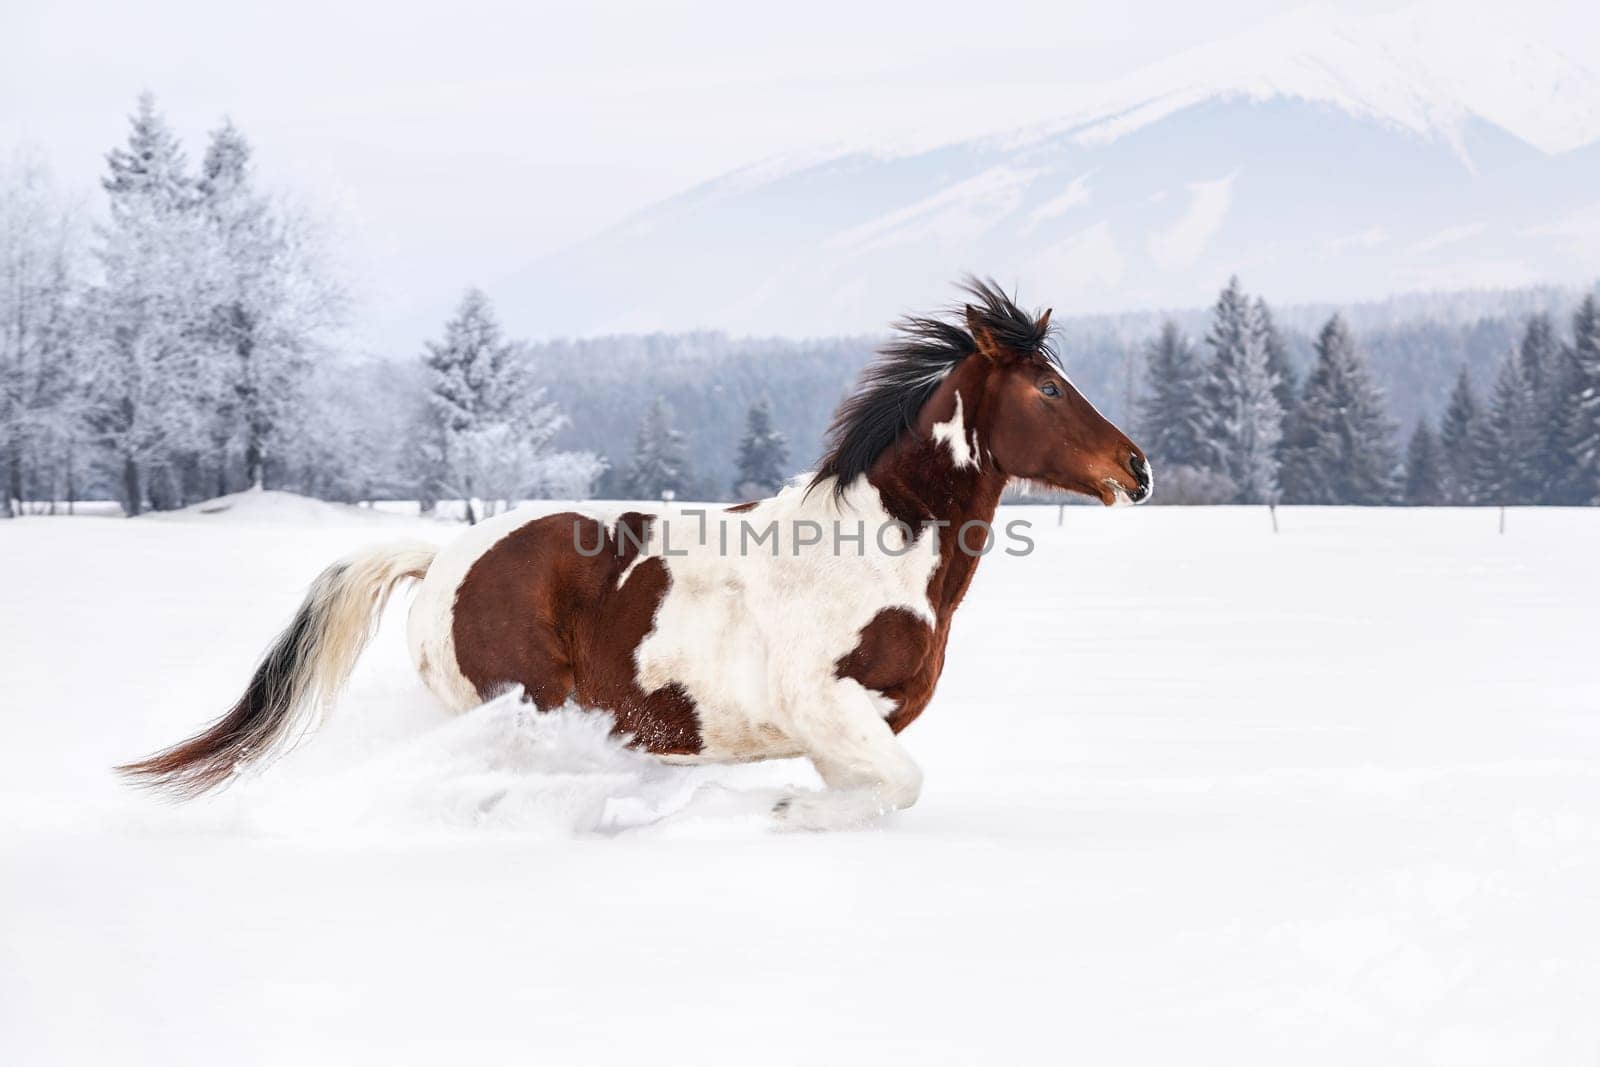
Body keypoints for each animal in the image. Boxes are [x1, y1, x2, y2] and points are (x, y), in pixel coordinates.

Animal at [124, 279, 1152, 831]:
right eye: (1049, 388)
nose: (1136, 469)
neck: (879, 547)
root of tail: (443, 557)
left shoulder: (854, 725)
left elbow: (882, 791)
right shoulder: (825, 705)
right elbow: (899, 785)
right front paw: (781, 814)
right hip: (522, 711)